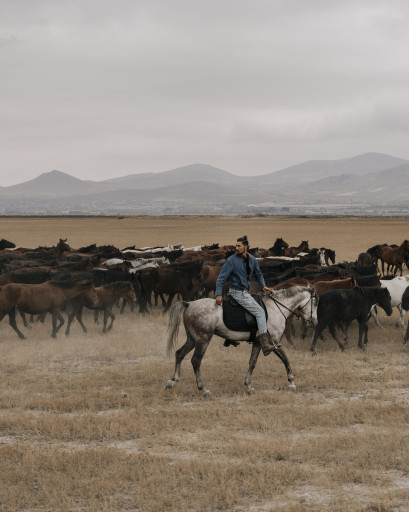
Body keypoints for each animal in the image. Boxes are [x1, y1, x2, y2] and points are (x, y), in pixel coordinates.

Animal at [164, 286, 318, 398]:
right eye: (315, 303)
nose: (314, 322)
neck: (276, 308)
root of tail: (189, 303)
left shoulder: (258, 343)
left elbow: (252, 363)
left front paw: (249, 386)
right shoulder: (273, 342)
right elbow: (286, 359)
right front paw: (292, 383)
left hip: (193, 339)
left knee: (179, 354)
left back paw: (172, 381)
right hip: (203, 340)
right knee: (196, 361)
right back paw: (204, 389)